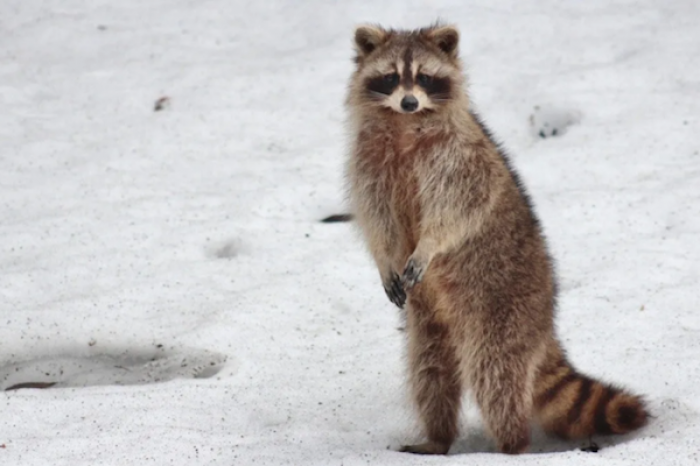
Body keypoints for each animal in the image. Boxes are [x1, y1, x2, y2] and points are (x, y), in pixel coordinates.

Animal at [344, 24, 644, 456]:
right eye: (391, 77)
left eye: (424, 77)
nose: (408, 101)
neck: (403, 125)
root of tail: (545, 321)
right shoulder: (368, 163)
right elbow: (376, 218)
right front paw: (385, 259)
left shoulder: (460, 158)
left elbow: (458, 209)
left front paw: (429, 245)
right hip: (430, 322)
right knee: (429, 371)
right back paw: (438, 437)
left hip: (504, 309)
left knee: (495, 374)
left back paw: (512, 444)